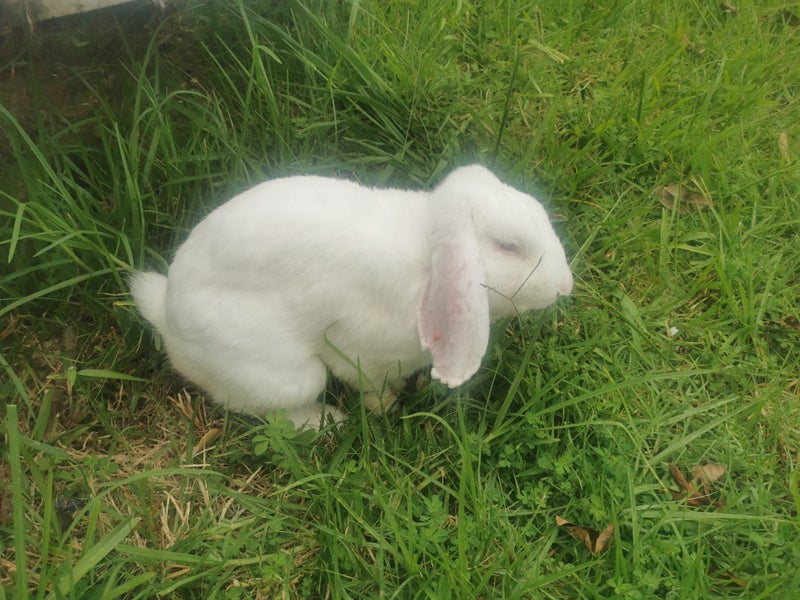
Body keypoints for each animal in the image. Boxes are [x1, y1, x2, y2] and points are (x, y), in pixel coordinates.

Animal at [130, 165, 573, 428]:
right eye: (508, 246)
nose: (565, 285)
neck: (426, 259)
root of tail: (165, 314)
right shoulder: (363, 355)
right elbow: (372, 388)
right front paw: (390, 408)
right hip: (291, 377)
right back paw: (326, 421)